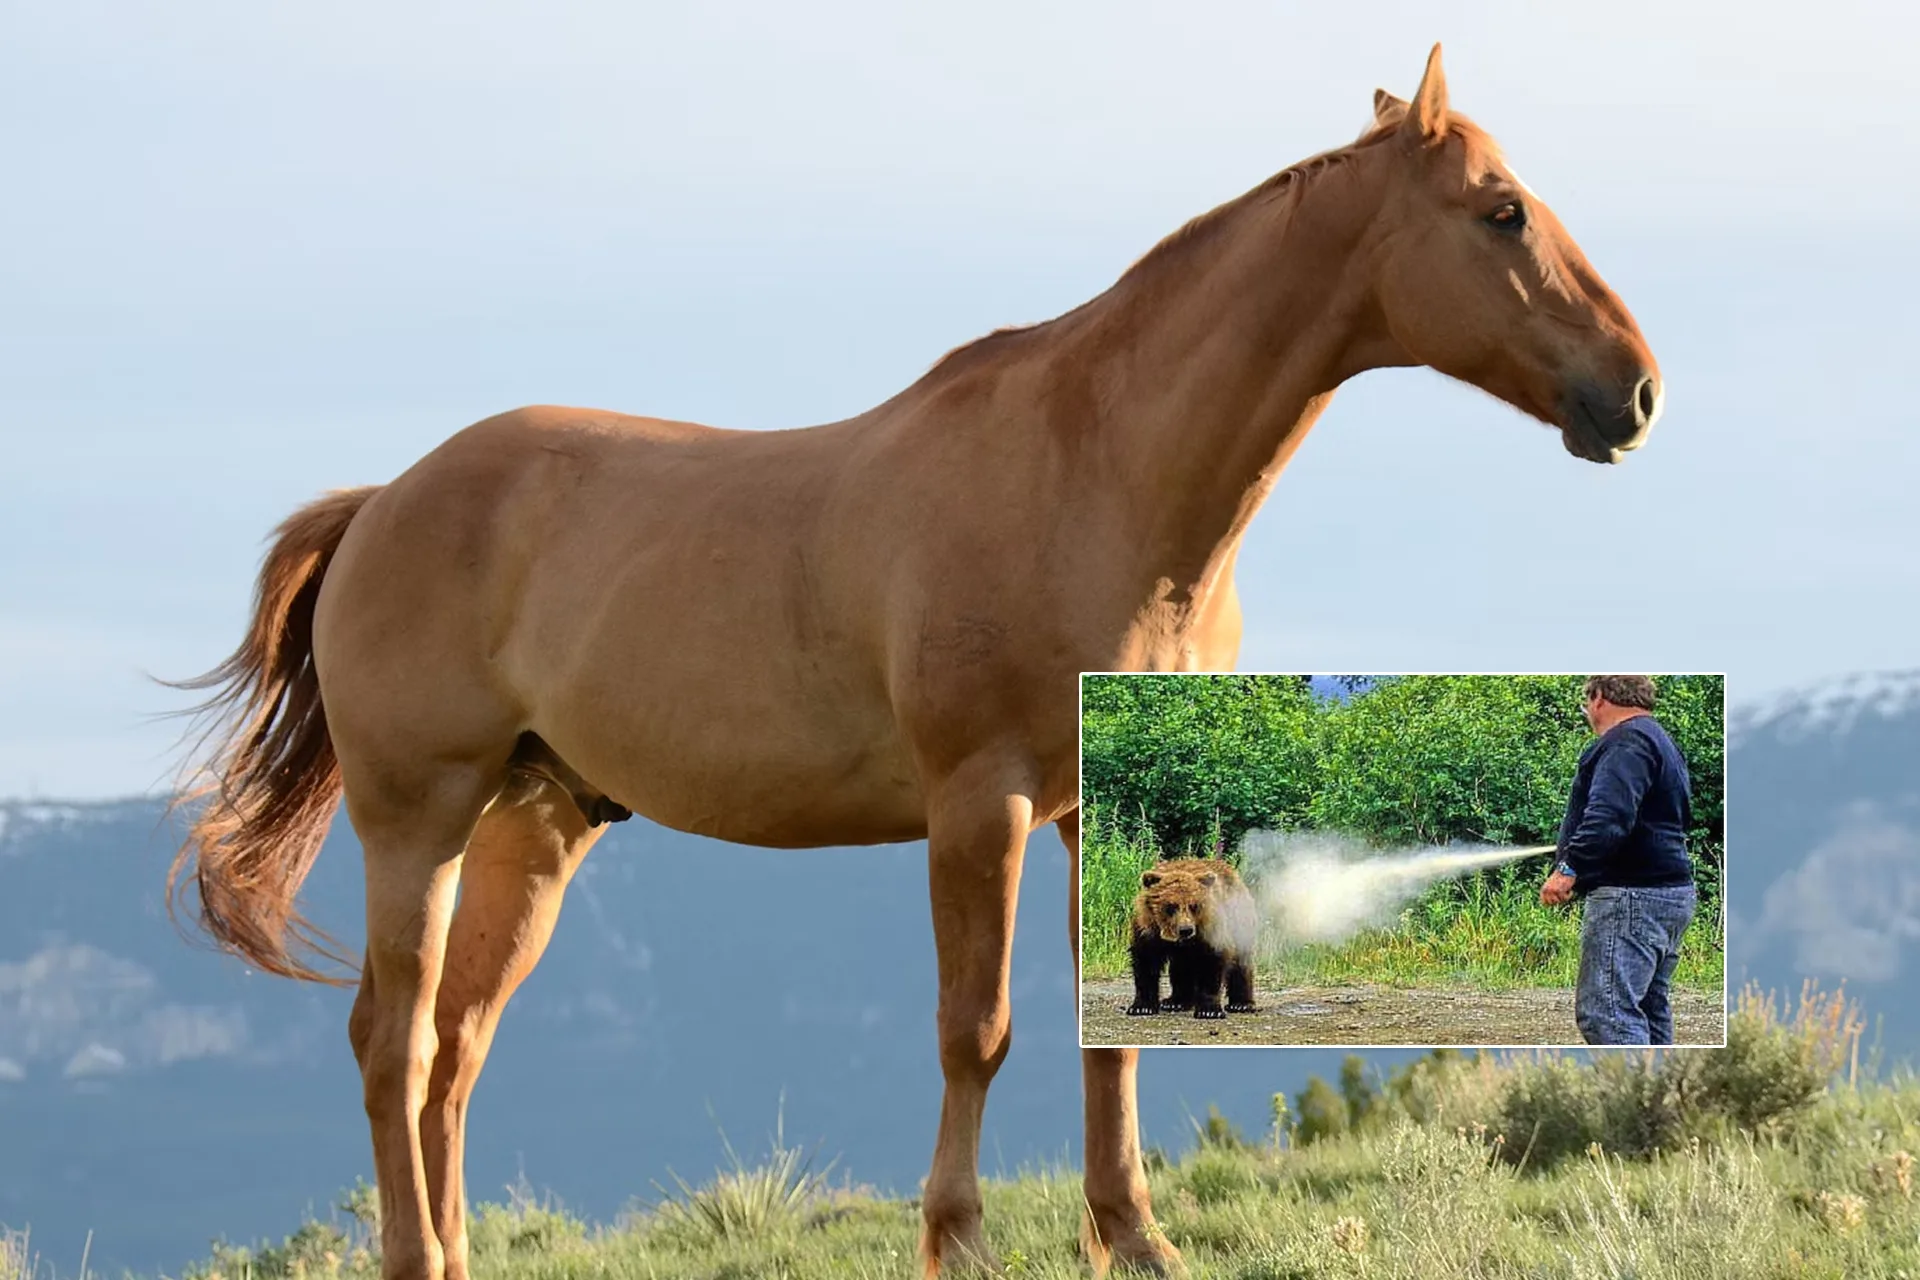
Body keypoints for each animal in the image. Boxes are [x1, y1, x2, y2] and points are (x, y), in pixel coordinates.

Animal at [1126, 857, 1259, 1019]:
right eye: (1171, 906)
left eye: (1194, 905)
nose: (1186, 930)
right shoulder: (1148, 931)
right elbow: (1145, 965)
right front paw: (1141, 1007)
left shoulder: (1211, 931)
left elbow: (1212, 963)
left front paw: (1209, 1010)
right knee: (1182, 967)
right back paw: (1175, 1001)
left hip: (1239, 919)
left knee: (1242, 961)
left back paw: (1242, 1004)